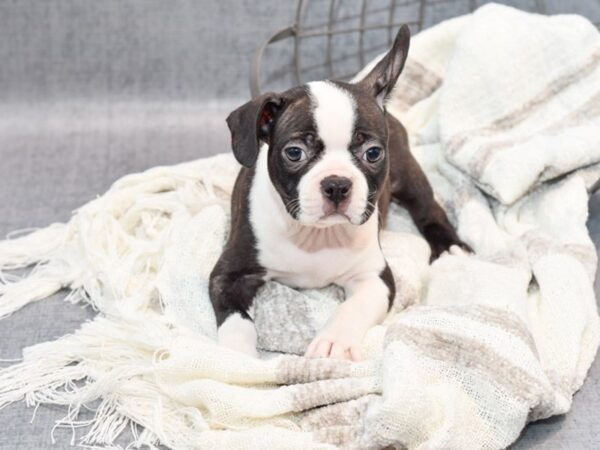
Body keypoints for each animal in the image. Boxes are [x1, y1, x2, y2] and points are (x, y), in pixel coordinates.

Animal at [211, 26, 468, 360]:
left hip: (409, 175)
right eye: (294, 152)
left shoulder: (374, 278)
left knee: (429, 209)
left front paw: (334, 342)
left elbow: (352, 309)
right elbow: (236, 321)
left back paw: (450, 247)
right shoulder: (228, 275)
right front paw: (234, 356)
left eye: (372, 153)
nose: (336, 184)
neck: (315, 238)